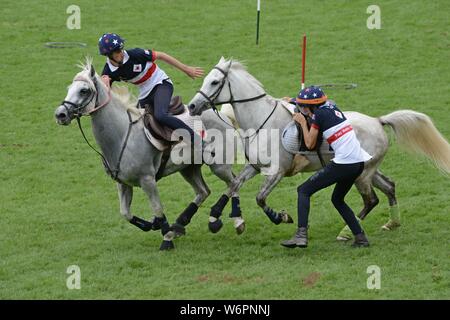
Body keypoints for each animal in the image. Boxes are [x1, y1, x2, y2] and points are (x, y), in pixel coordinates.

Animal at [54, 58, 243, 251]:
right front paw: (154, 225)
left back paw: (230, 220)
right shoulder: (122, 183)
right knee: (204, 191)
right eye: (70, 88)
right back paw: (180, 224)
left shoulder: (147, 180)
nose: (60, 114)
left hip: (218, 166)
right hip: (189, 168)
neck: (122, 135)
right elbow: (125, 213)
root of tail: (224, 117)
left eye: (84, 90)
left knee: (234, 182)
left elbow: (157, 208)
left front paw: (166, 238)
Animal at [187, 56, 450, 239]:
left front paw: (282, 217)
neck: (261, 120)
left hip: (362, 175)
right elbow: (232, 186)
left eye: (214, 82)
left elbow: (260, 199)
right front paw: (215, 219)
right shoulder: (254, 166)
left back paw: (347, 231)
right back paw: (392, 223)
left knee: (371, 200)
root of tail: (378, 121)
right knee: (389, 187)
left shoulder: (276, 172)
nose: (192, 106)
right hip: (369, 171)